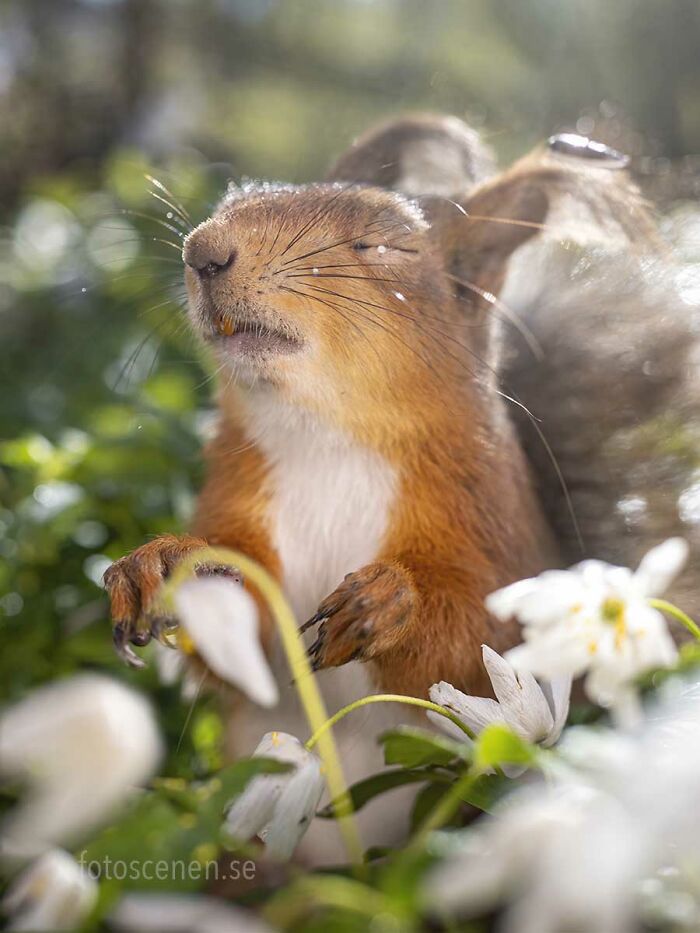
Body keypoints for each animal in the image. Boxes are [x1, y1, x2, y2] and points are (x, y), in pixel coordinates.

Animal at [104, 114, 699, 849]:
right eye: (232, 199)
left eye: (379, 245)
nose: (203, 251)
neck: (326, 437)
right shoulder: (237, 499)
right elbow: (239, 648)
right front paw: (163, 565)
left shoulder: (492, 523)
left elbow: (478, 640)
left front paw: (389, 601)